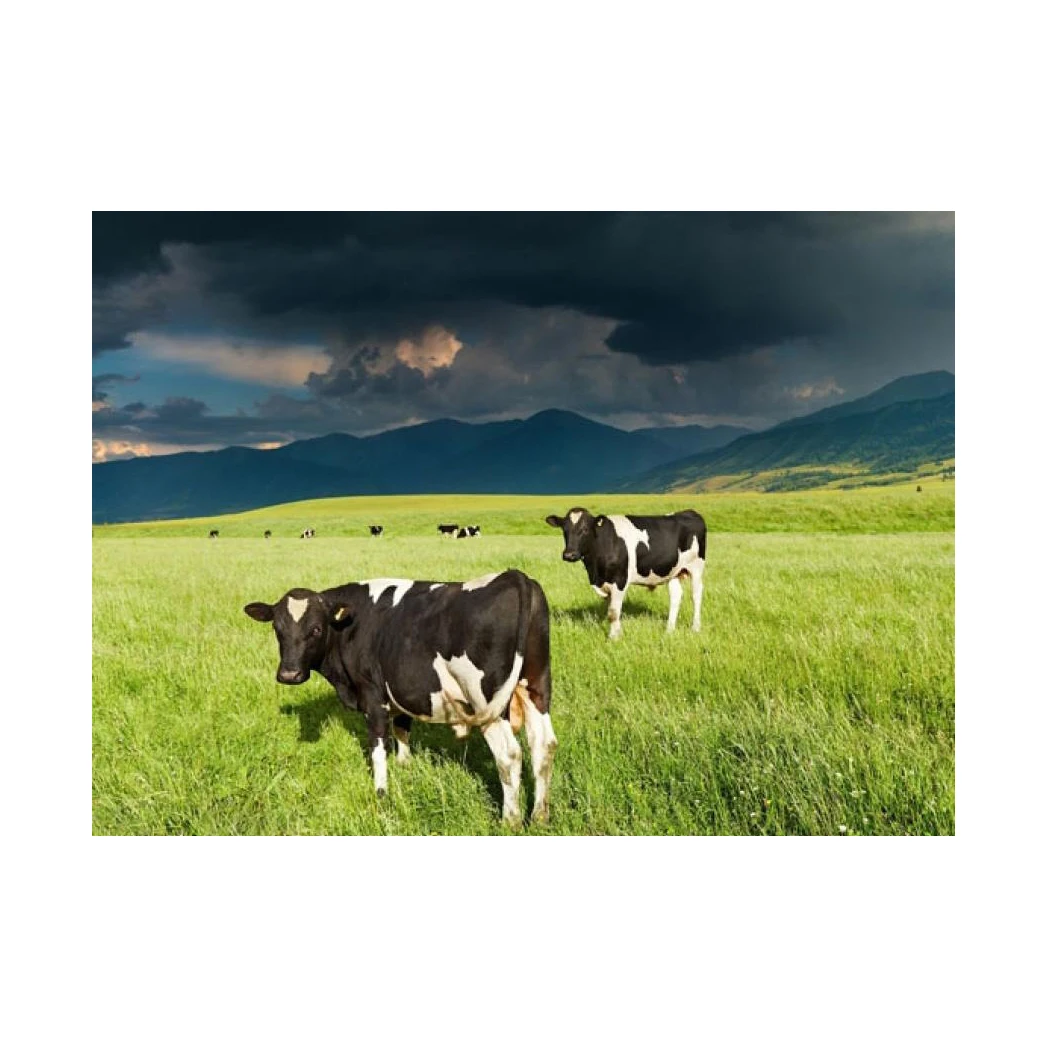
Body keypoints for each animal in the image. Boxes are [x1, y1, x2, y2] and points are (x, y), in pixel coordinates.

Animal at [243, 570, 556, 825]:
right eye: (278, 629)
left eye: (316, 629)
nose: (289, 674)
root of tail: (514, 577)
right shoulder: (401, 690)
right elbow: (403, 729)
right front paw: (405, 766)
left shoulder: (373, 697)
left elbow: (378, 747)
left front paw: (381, 794)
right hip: (536, 686)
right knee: (544, 745)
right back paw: (539, 816)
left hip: (488, 703)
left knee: (509, 755)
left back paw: (510, 820)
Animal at [546, 507, 707, 640]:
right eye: (564, 530)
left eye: (585, 529)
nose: (569, 555)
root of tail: (689, 512)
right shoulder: (605, 582)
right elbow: (612, 611)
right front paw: (616, 634)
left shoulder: (619, 580)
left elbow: (613, 612)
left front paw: (614, 638)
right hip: (673, 571)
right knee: (675, 596)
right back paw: (669, 630)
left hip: (696, 567)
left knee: (696, 595)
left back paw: (695, 628)